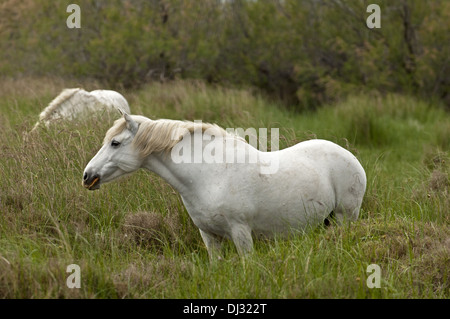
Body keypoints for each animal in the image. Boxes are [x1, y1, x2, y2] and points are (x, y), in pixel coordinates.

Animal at [82, 112, 368, 258]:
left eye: (115, 143)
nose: (87, 176)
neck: (208, 175)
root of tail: (351, 157)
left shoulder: (241, 233)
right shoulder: (209, 236)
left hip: (345, 217)